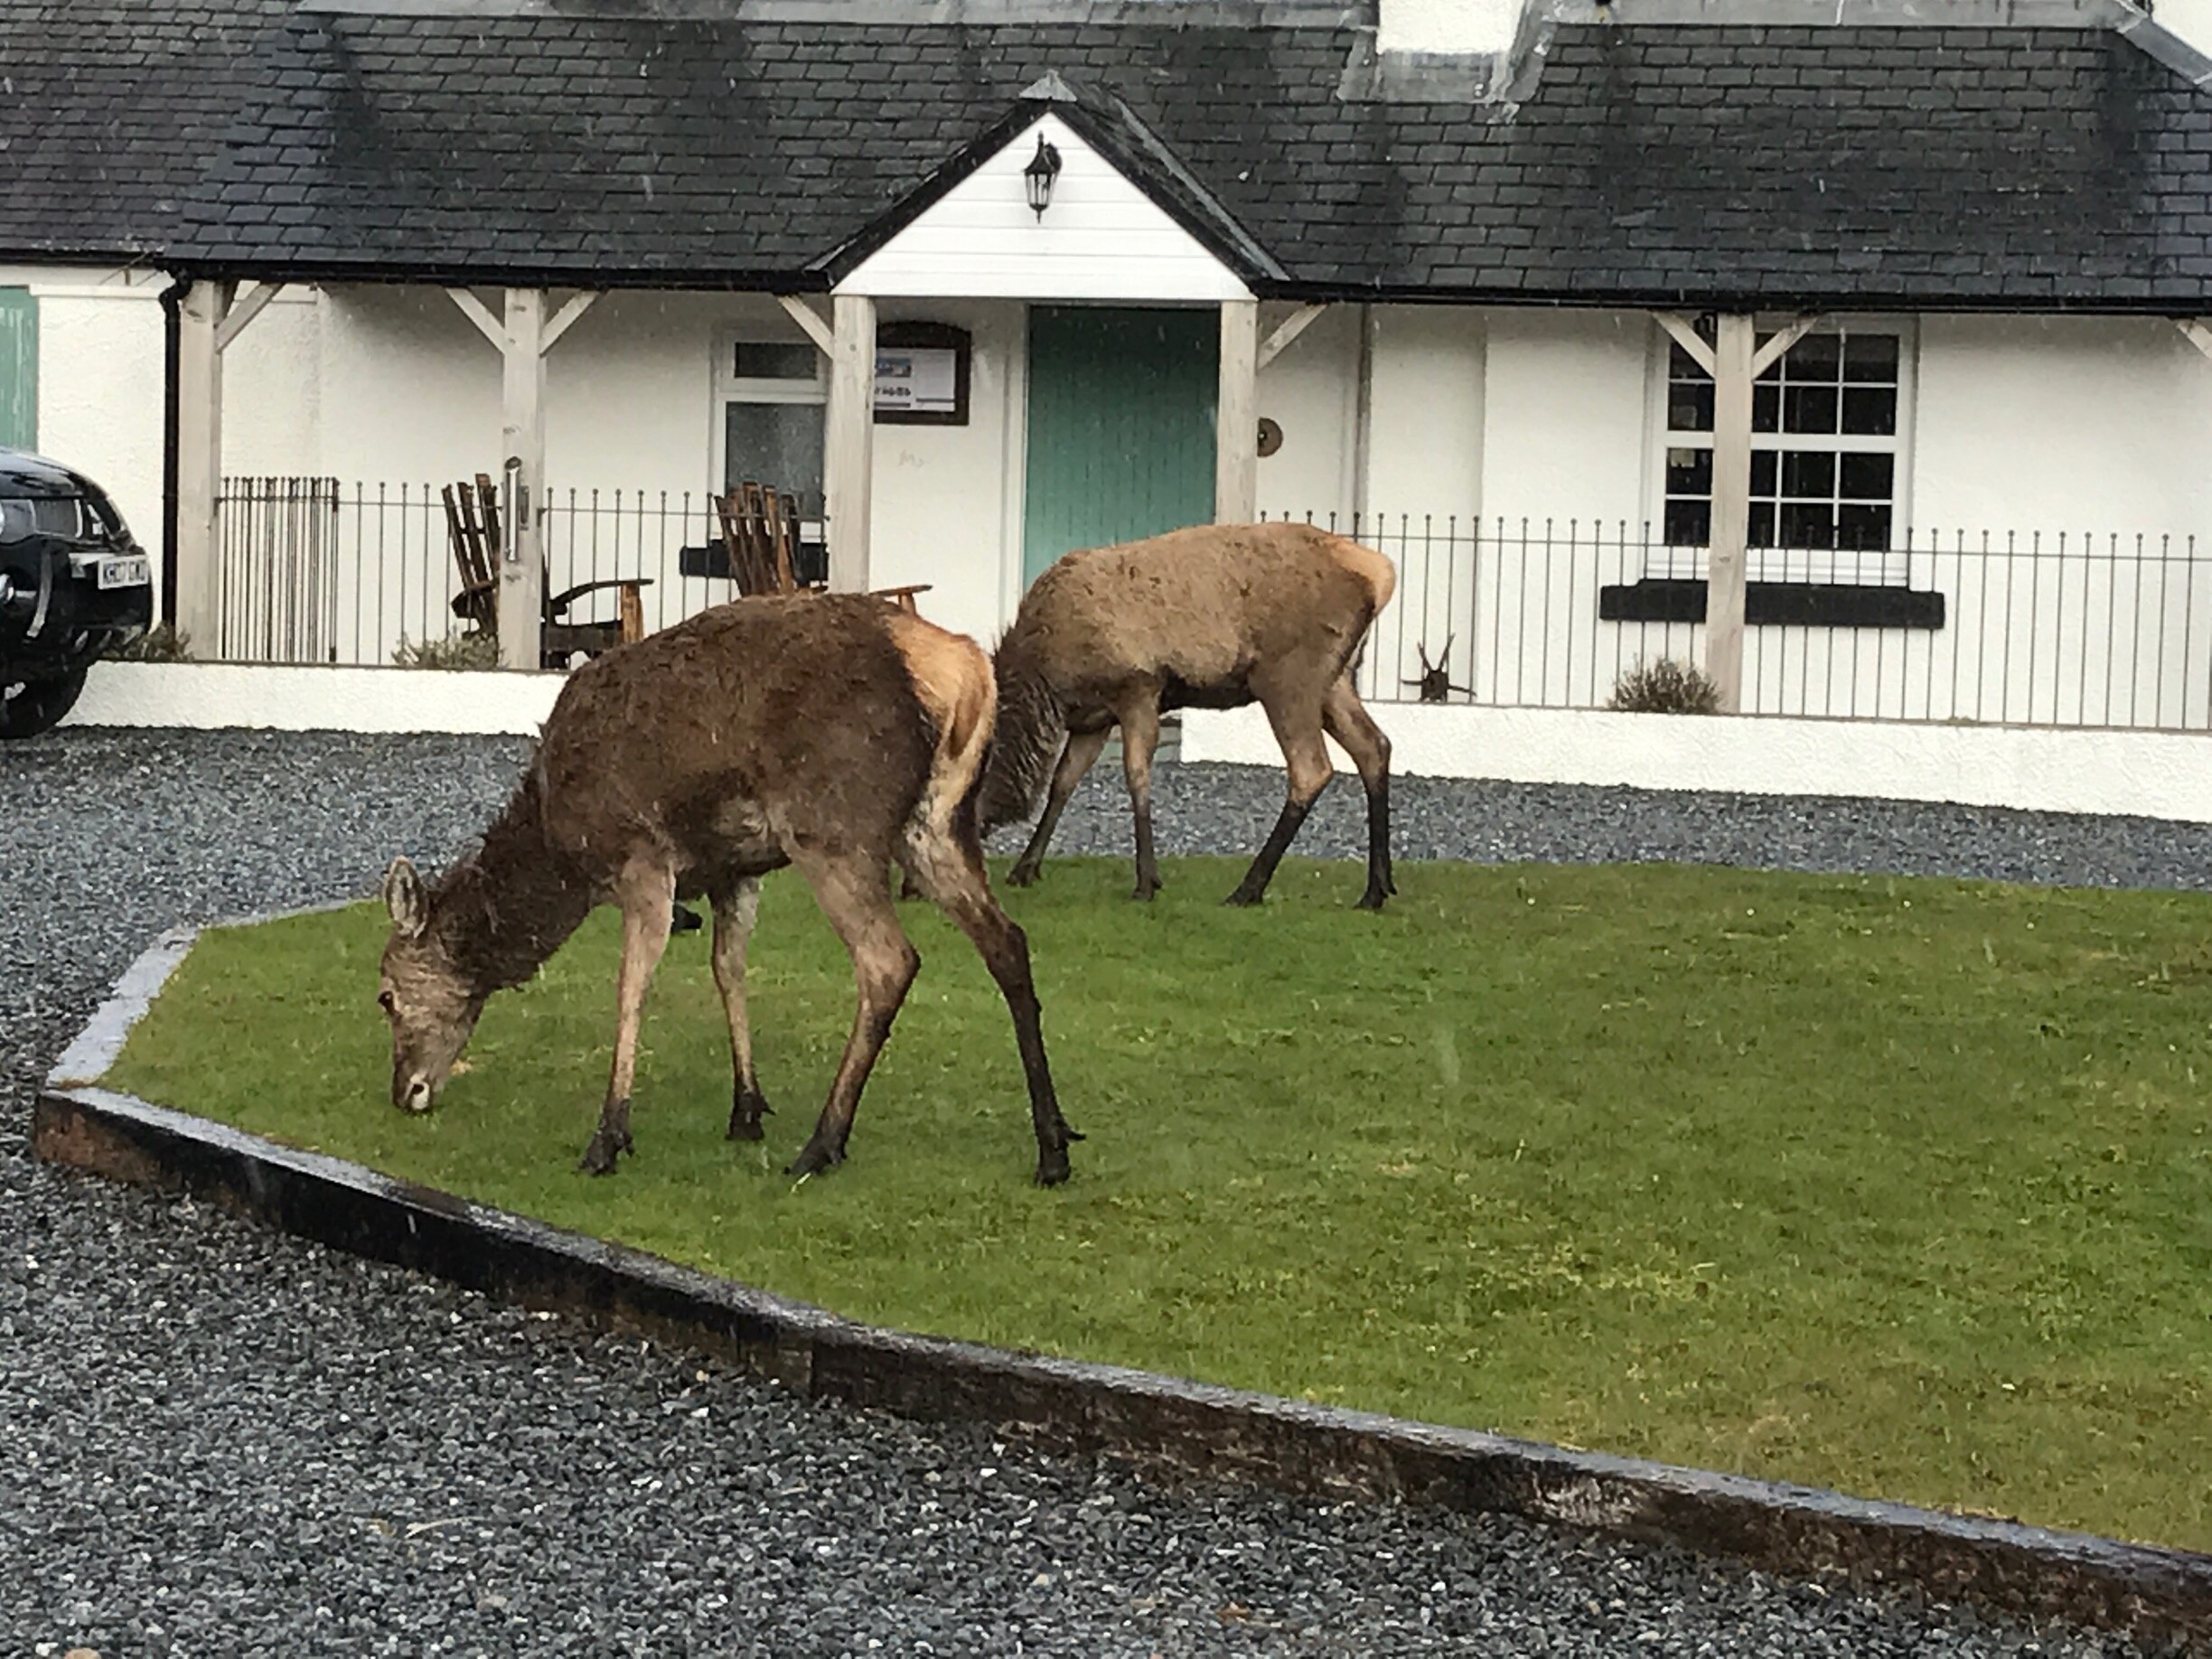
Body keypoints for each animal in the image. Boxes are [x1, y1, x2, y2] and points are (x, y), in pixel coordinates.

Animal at [373, 593, 1079, 1186]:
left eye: (384, 995)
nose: (405, 1092)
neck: (559, 849)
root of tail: (966, 671)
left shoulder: (643, 859)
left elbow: (632, 986)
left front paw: (609, 1137)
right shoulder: (733, 871)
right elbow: (728, 968)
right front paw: (746, 1108)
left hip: (833, 826)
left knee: (889, 961)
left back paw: (824, 1142)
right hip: (935, 826)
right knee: (1008, 942)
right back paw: (1053, 1144)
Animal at [986, 520, 1398, 911]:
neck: (1048, 679)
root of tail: (1382, 574)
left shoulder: (1138, 689)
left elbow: (1136, 775)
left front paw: (1147, 882)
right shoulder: (1093, 720)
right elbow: (1063, 782)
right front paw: (1025, 868)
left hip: (1288, 674)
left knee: (1311, 769)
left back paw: (1247, 889)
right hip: (1336, 680)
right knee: (1373, 746)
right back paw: (1375, 890)